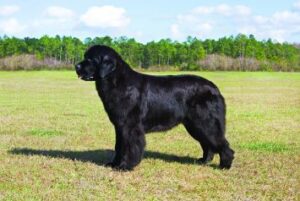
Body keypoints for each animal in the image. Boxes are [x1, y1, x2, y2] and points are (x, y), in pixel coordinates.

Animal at [75, 46, 234, 171]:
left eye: (90, 59)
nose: (76, 66)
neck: (117, 81)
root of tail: (214, 88)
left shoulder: (130, 126)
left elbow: (129, 147)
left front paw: (125, 166)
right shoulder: (120, 126)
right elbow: (119, 146)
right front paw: (114, 164)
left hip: (205, 122)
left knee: (222, 144)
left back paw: (225, 165)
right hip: (195, 125)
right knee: (208, 144)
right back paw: (203, 161)